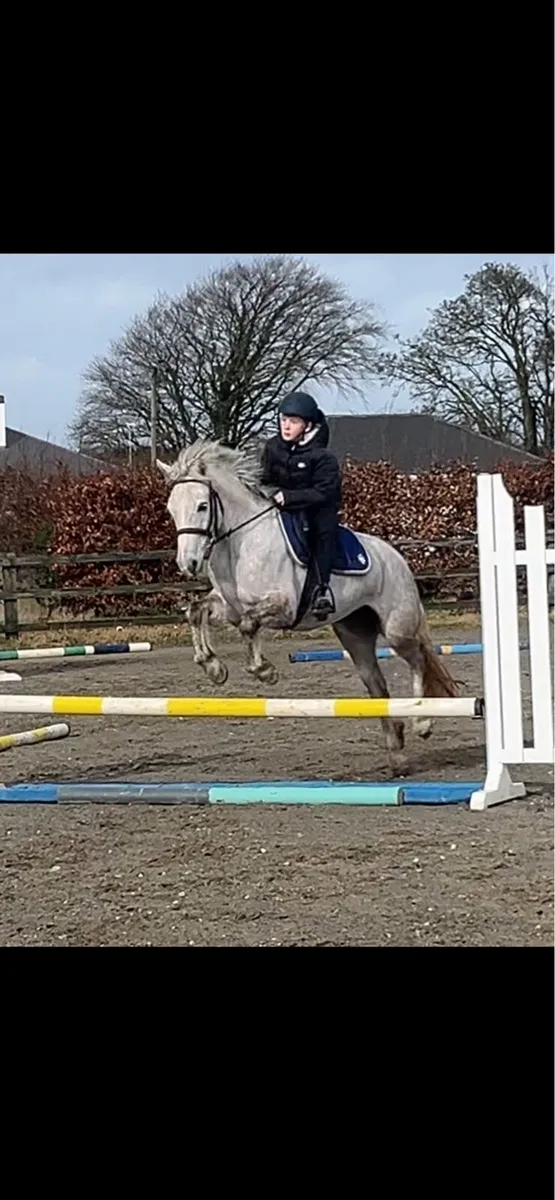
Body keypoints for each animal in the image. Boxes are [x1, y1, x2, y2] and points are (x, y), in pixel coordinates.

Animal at [157, 439, 459, 775]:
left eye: (202, 506)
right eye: (171, 509)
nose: (188, 564)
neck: (240, 542)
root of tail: (396, 557)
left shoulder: (283, 606)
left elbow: (249, 625)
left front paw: (264, 672)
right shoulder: (228, 607)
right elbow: (196, 612)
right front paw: (213, 667)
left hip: (397, 630)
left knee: (418, 660)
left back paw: (422, 723)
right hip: (355, 635)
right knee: (377, 686)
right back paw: (397, 754)